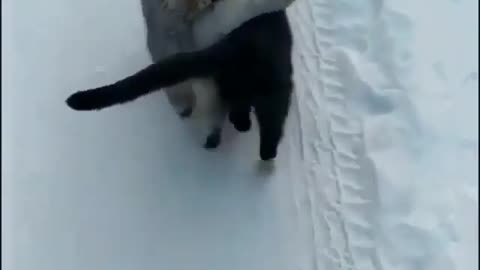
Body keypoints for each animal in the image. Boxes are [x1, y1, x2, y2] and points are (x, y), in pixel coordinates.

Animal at [67, 10, 292, 160]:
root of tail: (231, 46)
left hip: (231, 85)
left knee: (236, 110)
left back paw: (241, 127)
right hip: (274, 89)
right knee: (271, 123)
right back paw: (266, 153)